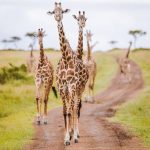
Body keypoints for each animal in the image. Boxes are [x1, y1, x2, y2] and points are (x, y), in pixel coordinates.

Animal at [47, 2, 88, 145]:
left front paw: (72, 136)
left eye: (62, 11)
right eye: (54, 11)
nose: (58, 17)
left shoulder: (72, 86)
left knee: (76, 108)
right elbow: (65, 112)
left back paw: (75, 134)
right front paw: (66, 137)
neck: (66, 59)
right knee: (73, 109)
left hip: (80, 89)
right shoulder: (61, 87)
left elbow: (72, 111)